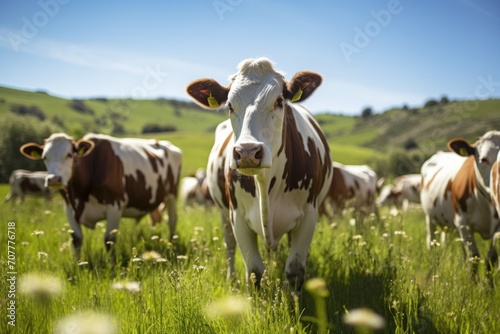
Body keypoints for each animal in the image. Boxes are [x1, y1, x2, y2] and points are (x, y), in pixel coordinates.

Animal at [21, 133, 184, 258]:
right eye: (44, 157)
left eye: (69, 154)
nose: (54, 179)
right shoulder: (69, 208)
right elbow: (77, 240)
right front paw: (78, 265)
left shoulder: (115, 205)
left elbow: (109, 240)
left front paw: (112, 267)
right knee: (155, 218)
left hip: (172, 194)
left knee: (172, 220)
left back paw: (172, 243)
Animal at [186, 57, 334, 292]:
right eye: (229, 105)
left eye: (280, 101)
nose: (247, 152)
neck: (266, 186)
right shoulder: (237, 216)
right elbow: (255, 271)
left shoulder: (309, 214)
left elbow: (295, 271)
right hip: (223, 213)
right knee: (229, 245)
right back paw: (231, 279)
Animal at [420, 130, 500, 276]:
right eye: (484, 159)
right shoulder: (464, 224)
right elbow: (474, 257)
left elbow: (491, 258)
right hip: (429, 216)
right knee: (431, 239)